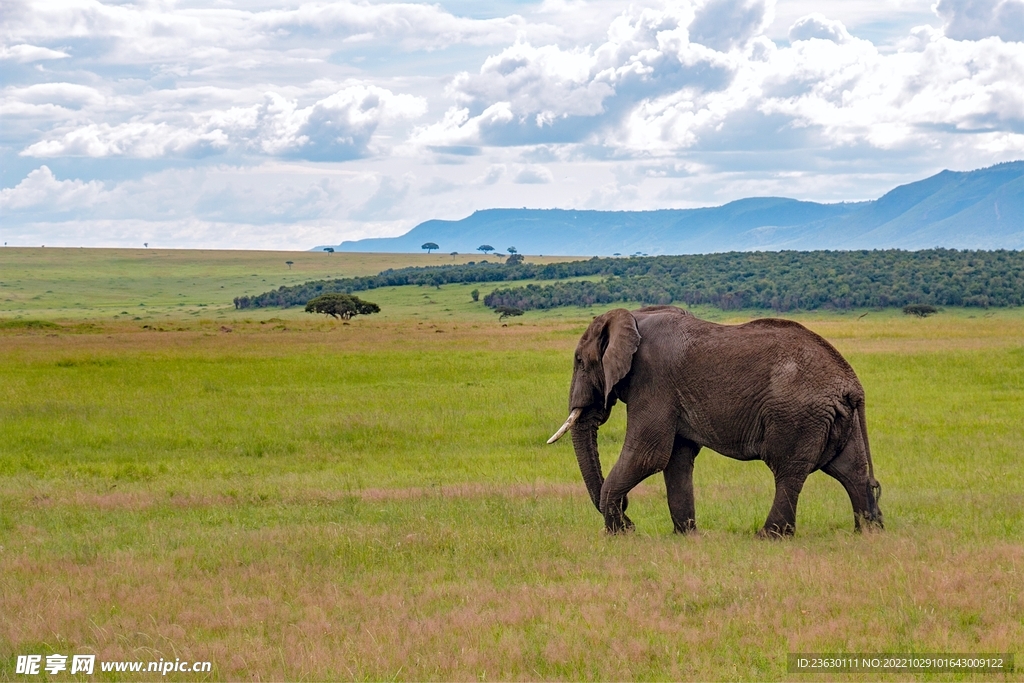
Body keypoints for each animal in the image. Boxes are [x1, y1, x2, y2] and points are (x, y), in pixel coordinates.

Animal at [548, 307, 884, 536]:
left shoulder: (653, 380)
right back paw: (868, 533)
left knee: (788, 470)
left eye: (580, 361)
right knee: (850, 471)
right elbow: (676, 459)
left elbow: (648, 455)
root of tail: (851, 384)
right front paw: (685, 535)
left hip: (797, 414)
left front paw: (619, 534)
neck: (632, 317)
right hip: (841, 418)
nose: (630, 519)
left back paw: (768, 537)